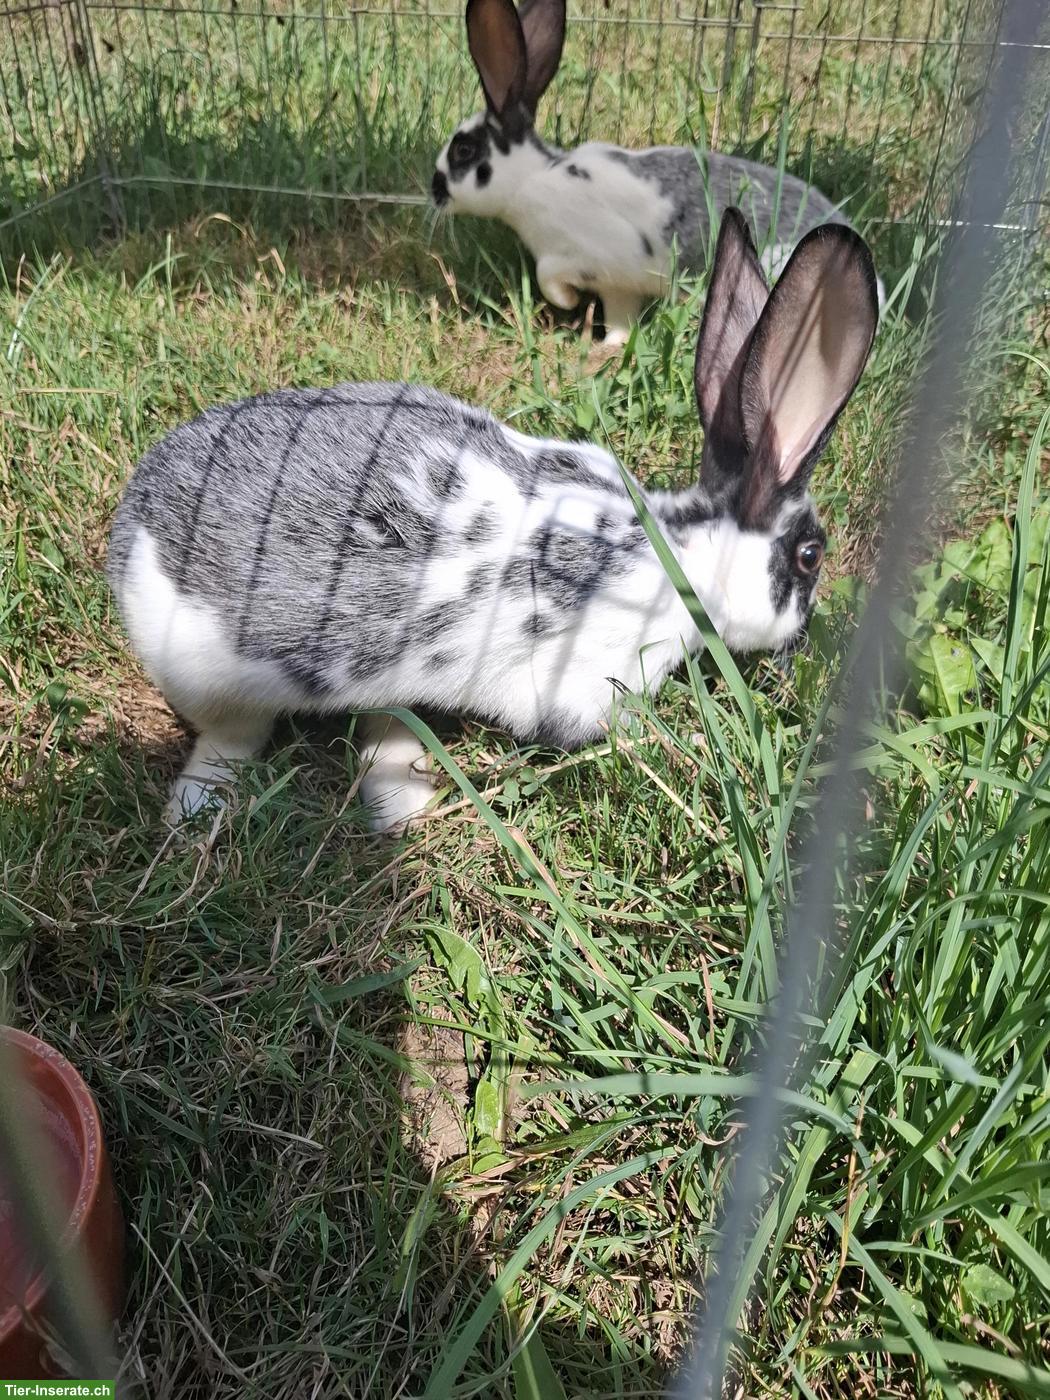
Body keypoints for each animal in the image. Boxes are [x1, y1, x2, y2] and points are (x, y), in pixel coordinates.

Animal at [106, 208, 879, 833]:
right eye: (810, 557)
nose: (803, 636)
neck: (683, 553)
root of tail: (131, 523)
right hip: (216, 681)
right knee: (231, 739)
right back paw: (198, 812)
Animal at [431, 0, 883, 345]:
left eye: (463, 150)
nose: (434, 192)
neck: (534, 177)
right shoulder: (619, 288)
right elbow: (620, 319)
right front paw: (607, 347)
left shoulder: (587, 256)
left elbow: (549, 277)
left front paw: (568, 303)